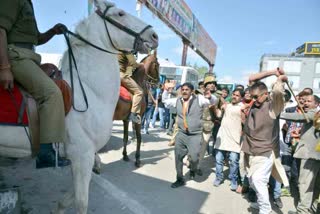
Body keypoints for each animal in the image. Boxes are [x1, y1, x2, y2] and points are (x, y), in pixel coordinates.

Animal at [0, 0, 159, 213]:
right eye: (120, 13)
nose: (154, 36)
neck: (89, 90)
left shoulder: (82, 157)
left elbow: (73, 194)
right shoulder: (82, 155)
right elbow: (81, 201)